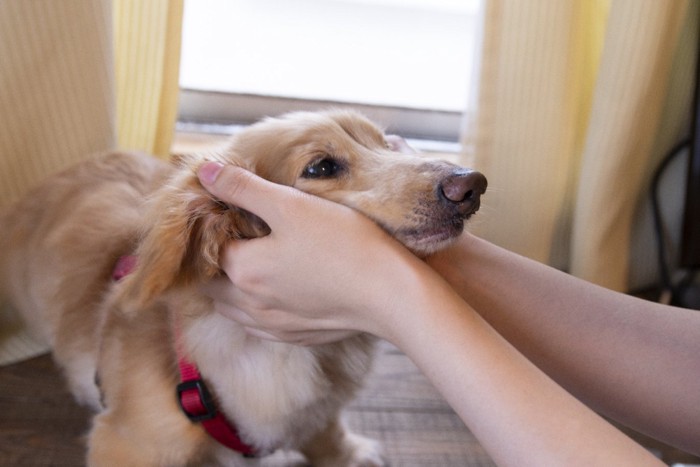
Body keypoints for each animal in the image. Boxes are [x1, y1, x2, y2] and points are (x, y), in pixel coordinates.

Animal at [0, 110, 486, 467]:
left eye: (387, 145)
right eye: (322, 166)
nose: (471, 185)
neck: (280, 352)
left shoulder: (320, 410)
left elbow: (325, 432)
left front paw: (347, 454)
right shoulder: (128, 443)